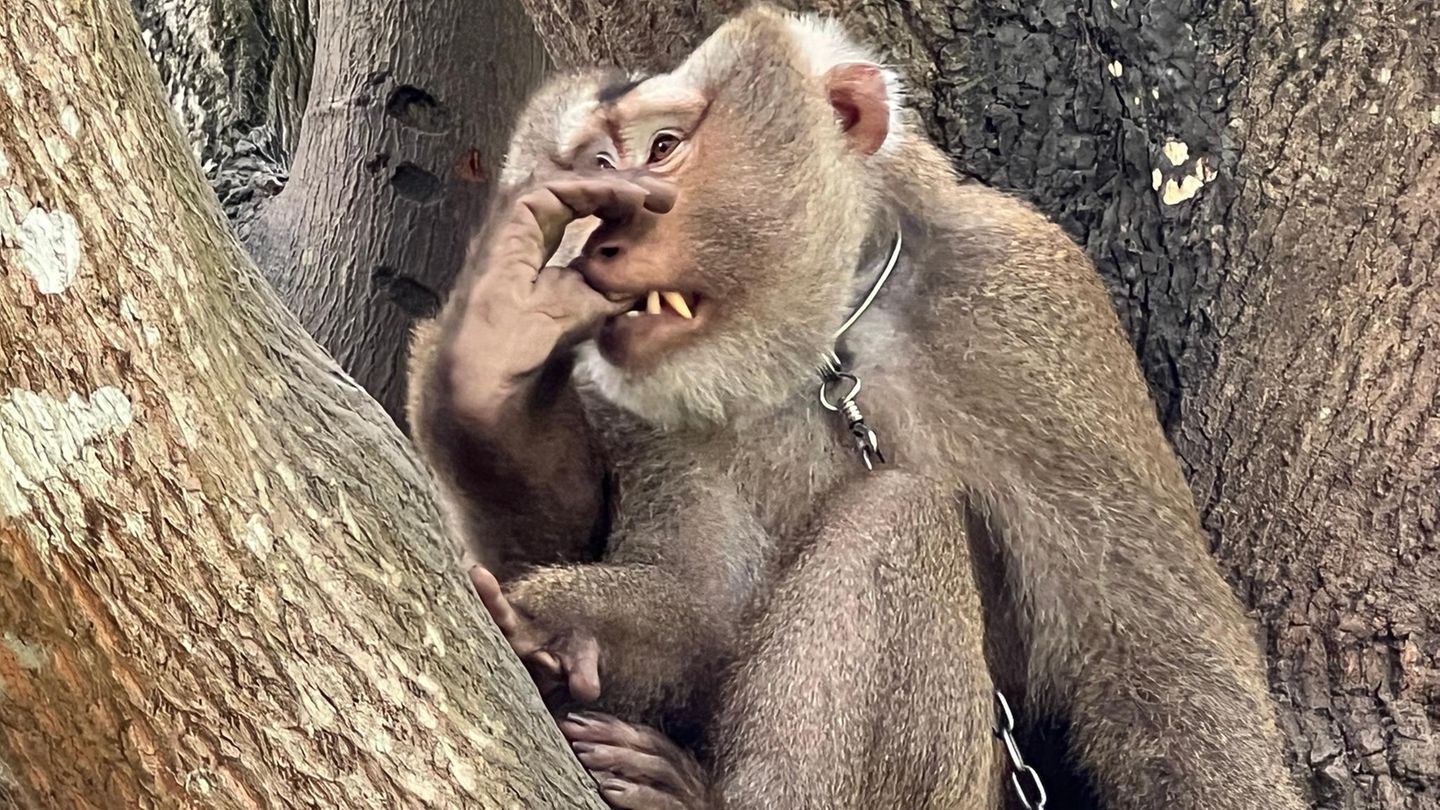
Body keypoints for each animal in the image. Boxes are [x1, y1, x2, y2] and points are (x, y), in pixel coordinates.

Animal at [407, 5, 1309, 809]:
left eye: (663, 148)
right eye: (596, 164)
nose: (603, 235)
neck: (825, 345)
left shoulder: (1031, 313)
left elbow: (1156, 660)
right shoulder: (643, 410)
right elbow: (708, 610)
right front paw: (492, 375)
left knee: (898, 512)